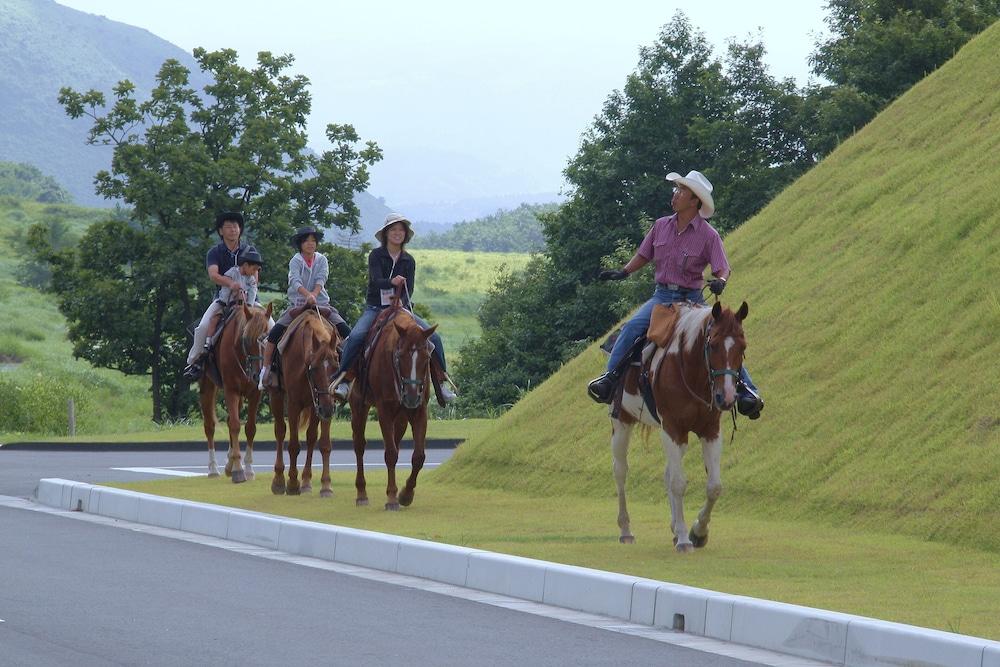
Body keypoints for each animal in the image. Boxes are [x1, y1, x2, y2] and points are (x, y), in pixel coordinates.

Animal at [198, 304, 272, 486]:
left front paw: (248, 469)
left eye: (268, 338)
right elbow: (235, 426)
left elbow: (250, 428)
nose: (258, 375)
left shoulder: (255, 393)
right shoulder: (231, 390)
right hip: (207, 385)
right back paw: (213, 469)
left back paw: (228, 464)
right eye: (246, 339)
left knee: (229, 419)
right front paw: (239, 470)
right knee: (210, 426)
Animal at [272, 310, 342, 498]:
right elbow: (293, 445)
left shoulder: (320, 403)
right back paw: (279, 480)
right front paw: (292, 483)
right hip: (277, 394)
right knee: (280, 431)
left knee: (311, 437)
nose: (328, 408)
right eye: (314, 368)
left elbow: (322, 443)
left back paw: (306, 481)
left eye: (336, 366)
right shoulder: (294, 404)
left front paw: (325, 485)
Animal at [346, 298, 436, 512]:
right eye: (399, 355)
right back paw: (362, 494)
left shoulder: (420, 410)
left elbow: (418, 456)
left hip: (401, 416)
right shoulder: (384, 410)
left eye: (427, 356)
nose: (411, 395)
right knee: (359, 445)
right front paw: (392, 498)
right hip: (359, 406)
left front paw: (406, 494)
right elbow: (391, 454)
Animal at [608, 302, 752, 552]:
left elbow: (714, 486)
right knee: (621, 471)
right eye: (713, 345)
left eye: (742, 346)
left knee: (667, 473)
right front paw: (685, 539)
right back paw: (626, 530)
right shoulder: (672, 427)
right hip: (622, 422)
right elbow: (678, 484)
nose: (726, 397)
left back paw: (675, 528)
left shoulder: (710, 430)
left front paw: (698, 532)